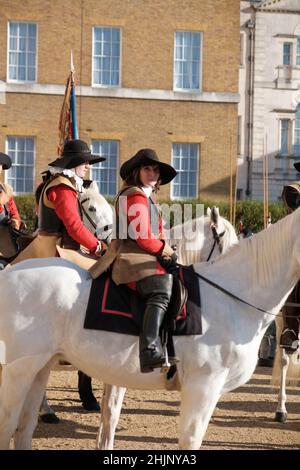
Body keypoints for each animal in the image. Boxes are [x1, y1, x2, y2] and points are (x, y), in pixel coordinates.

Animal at [1, 208, 298, 448]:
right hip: (19, 370)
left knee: (24, 428)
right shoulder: (202, 387)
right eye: (225, 241)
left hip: (40, 368)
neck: (230, 295)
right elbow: (188, 441)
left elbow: (110, 418)